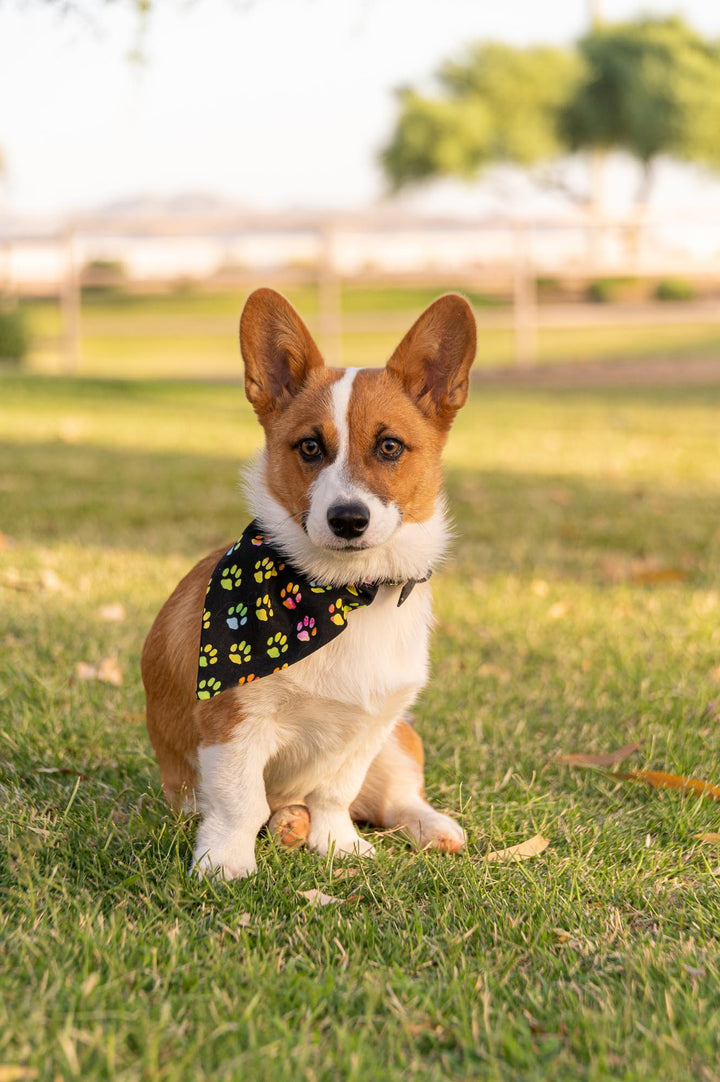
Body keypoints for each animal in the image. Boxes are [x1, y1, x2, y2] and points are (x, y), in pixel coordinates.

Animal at [142, 287, 474, 878]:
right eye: (310, 447)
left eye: (390, 447)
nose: (348, 520)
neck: (344, 594)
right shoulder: (234, 722)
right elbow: (240, 803)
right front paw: (225, 864)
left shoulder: (368, 727)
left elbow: (334, 794)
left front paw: (337, 844)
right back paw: (288, 823)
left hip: (399, 736)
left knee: (394, 799)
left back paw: (429, 827)